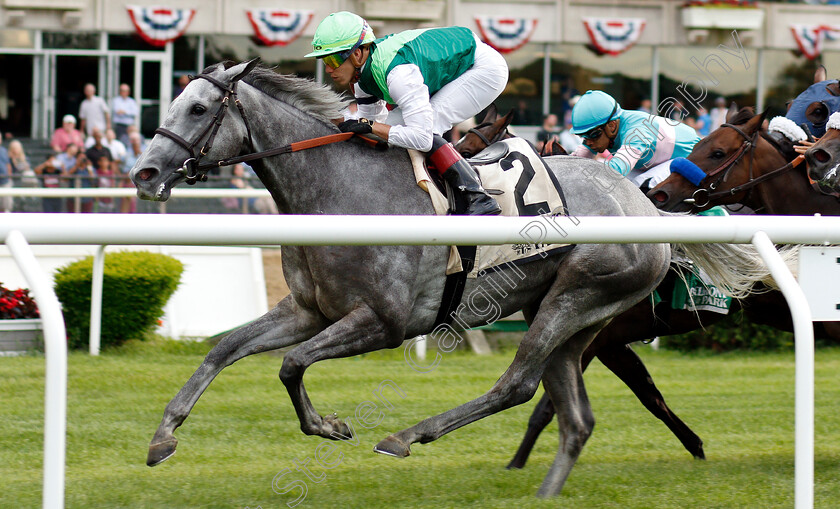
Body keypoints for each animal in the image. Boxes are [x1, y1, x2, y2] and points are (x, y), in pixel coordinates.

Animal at [130, 60, 776, 496]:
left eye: (197, 109)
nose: (144, 172)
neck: (340, 191)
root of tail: (643, 204)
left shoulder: (384, 321)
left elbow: (290, 364)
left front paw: (328, 425)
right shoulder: (310, 310)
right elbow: (225, 349)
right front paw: (164, 436)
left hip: (578, 295)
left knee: (518, 386)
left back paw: (406, 437)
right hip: (574, 316)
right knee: (572, 415)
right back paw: (544, 492)